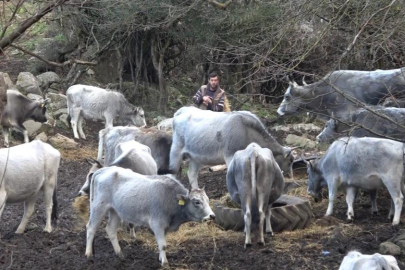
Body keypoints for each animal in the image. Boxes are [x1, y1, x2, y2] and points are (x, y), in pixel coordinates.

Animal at [83, 168, 213, 266]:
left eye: (207, 200)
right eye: (197, 202)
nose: (212, 216)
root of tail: (103, 170)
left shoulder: (165, 226)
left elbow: (162, 243)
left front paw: (161, 258)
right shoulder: (157, 224)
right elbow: (163, 245)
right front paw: (165, 263)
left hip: (115, 211)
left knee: (110, 230)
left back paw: (120, 254)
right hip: (98, 207)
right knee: (91, 228)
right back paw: (89, 254)